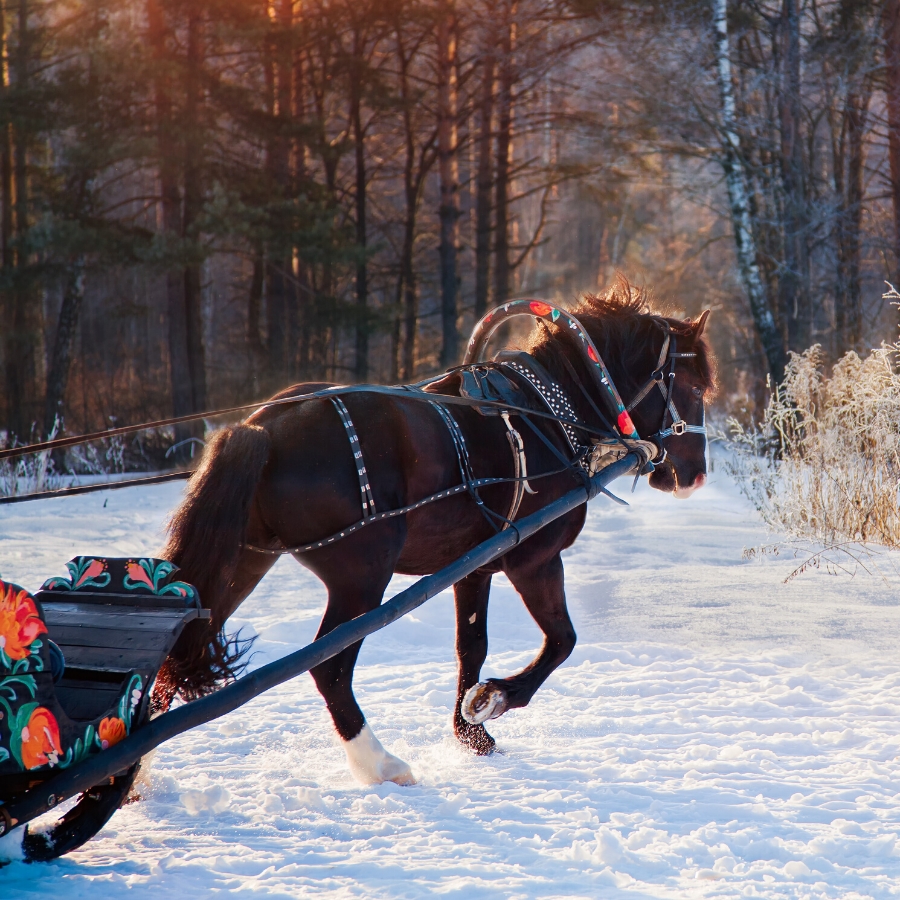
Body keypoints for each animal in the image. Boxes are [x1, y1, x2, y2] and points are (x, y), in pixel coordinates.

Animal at [156, 284, 716, 784]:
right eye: (693, 387)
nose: (695, 475)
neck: (551, 415)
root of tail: (265, 429)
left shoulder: (475, 566)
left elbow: (472, 646)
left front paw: (472, 733)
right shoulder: (534, 558)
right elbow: (562, 640)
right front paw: (493, 700)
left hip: (244, 561)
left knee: (177, 649)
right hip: (362, 576)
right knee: (329, 670)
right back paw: (380, 764)